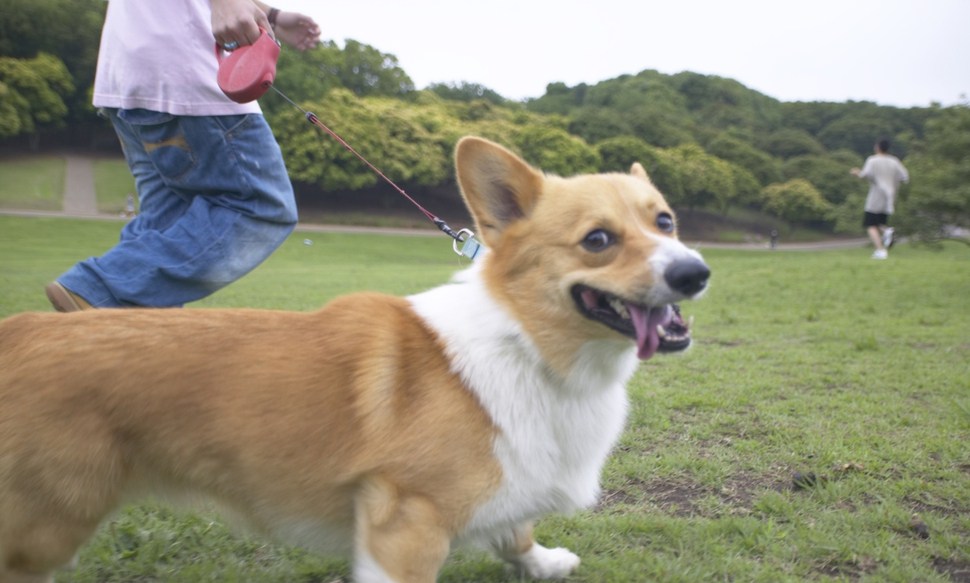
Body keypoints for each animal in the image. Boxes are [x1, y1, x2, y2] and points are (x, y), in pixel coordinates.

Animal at [0, 138, 708, 583]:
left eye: (666, 222)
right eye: (598, 240)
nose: (696, 273)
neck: (530, 347)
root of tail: (19, 332)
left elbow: (516, 531)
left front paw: (545, 563)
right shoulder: (406, 523)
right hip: (48, 523)